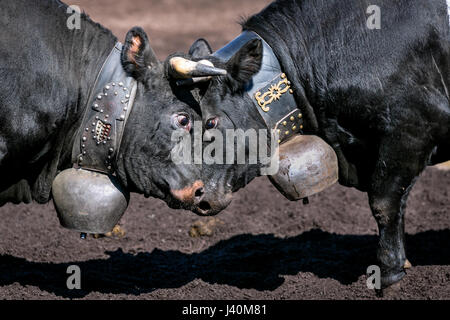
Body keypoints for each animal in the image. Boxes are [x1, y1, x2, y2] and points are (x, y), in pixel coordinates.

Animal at [168, 0, 450, 288]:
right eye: (185, 120)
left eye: (211, 121)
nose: (194, 195)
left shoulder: (412, 128)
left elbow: (384, 203)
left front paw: (390, 273)